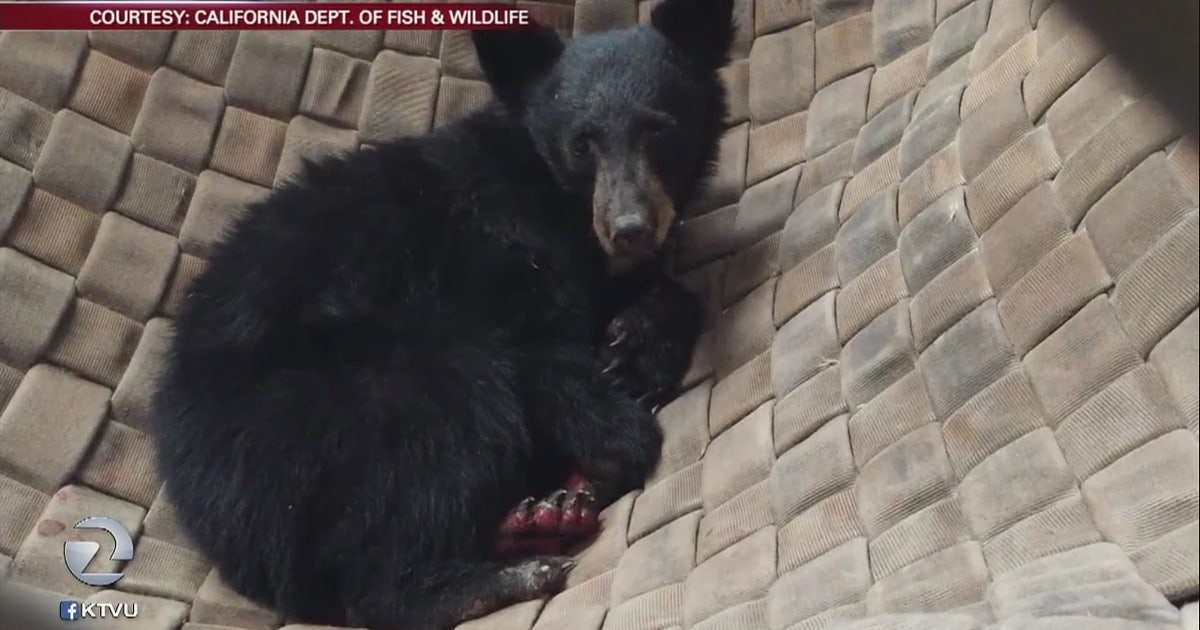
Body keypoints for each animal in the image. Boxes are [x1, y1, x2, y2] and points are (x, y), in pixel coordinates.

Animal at [148, 1, 735, 628]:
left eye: (659, 128)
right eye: (582, 143)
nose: (630, 228)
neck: (554, 195)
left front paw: (636, 343)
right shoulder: (495, 246)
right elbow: (543, 351)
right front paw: (615, 436)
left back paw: (540, 519)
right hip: (339, 407)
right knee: (433, 442)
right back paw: (505, 570)